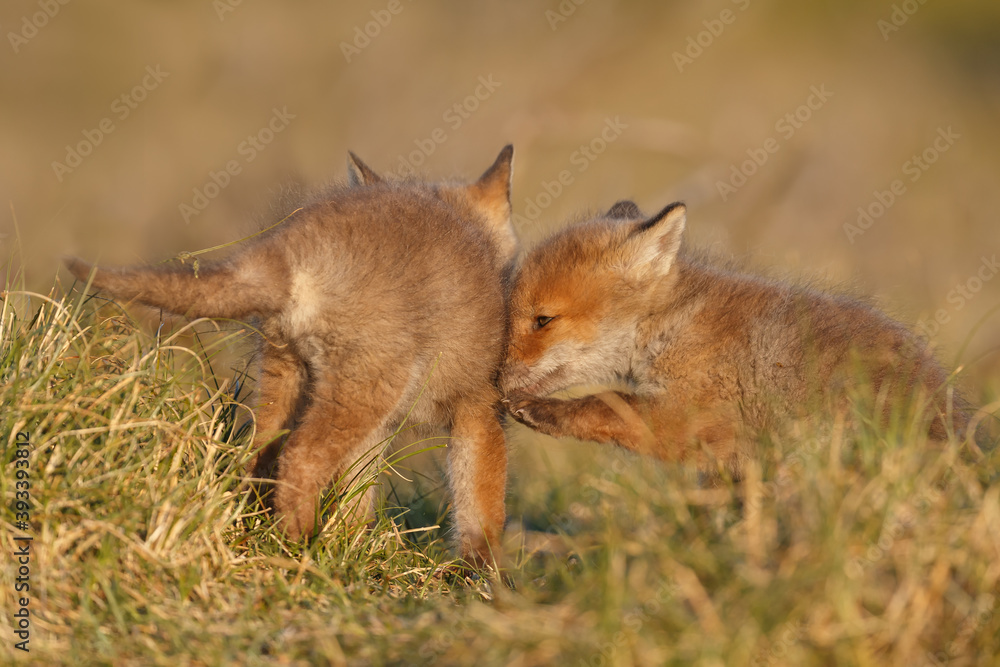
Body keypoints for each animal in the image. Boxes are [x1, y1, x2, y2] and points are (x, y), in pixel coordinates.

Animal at [65, 146, 517, 567]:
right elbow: (481, 510)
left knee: (260, 453)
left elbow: (357, 496)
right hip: (364, 390)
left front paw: (352, 546)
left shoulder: (382, 428)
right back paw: (300, 545)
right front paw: (487, 579)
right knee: (301, 457)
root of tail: (292, 243)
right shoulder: (479, 410)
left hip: (288, 376)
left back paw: (266, 530)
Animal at [501, 200, 979, 478]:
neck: (675, 324)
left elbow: (605, 403)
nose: (494, 375)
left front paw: (543, 411)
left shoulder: (692, 417)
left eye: (542, 320)